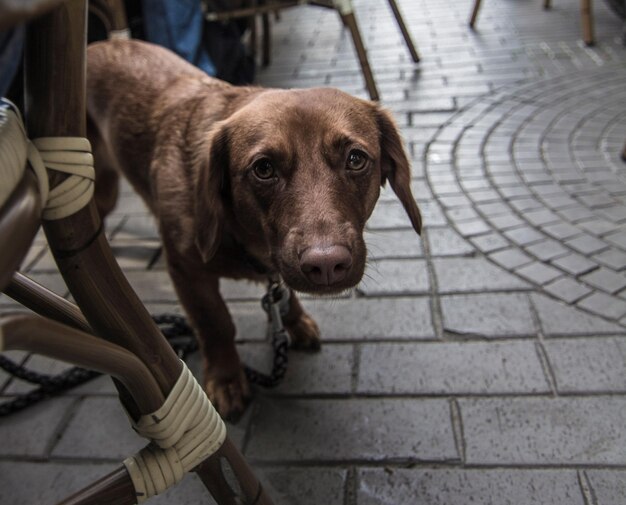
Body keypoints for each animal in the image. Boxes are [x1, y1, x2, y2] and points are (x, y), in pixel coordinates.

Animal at [86, 38, 420, 418]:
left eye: (356, 159)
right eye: (263, 168)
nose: (326, 265)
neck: (243, 238)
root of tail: (99, 44)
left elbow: (282, 295)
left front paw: (294, 321)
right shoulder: (187, 272)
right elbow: (216, 324)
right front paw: (227, 379)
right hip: (103, 192)